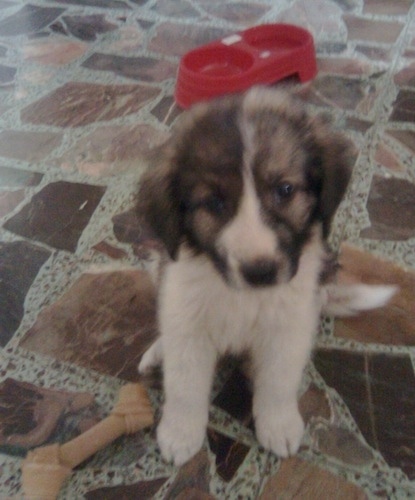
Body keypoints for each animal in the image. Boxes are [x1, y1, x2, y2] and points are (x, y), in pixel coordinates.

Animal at [137, 88, 396, 466]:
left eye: (285, 190)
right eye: (214, 203)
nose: (260, 271)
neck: (242, 297)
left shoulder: (287, 326)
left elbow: (278, 380)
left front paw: (279, 424)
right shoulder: (186, 315)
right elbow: (185, 383)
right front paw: (180, 431)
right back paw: (158, 350)